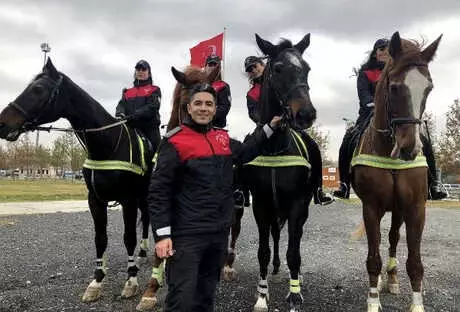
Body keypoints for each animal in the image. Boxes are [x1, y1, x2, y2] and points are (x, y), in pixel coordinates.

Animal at [0, 58, 155, 302]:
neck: (109, 144)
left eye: (38, 89)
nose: (3, 123)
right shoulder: (95, 201)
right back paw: (142, 252)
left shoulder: (128, 200)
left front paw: (131, 280)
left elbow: (128, 236)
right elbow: (100, 238)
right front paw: (97, 281)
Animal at [243, 33, 318, 310]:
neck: (275, 147)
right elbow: (263, 251)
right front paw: (262, 295)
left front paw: (294, 294)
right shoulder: (261, 205)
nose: (306, 114)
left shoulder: (297, 205)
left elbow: (294, 253)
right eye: (277, 68)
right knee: (275, 235)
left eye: (306, 68)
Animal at [352, 32, 442, 312]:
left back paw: (391, 278)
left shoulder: (415, 208)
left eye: (428, 88)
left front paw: (417, 305)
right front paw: (373, 301)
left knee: (392, 238)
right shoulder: (371, 207)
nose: (409, 148)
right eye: (393, 87)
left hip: (399, 209)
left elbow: (415, 262)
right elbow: (373, 258)